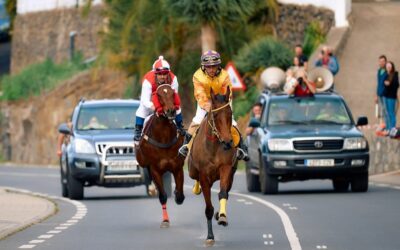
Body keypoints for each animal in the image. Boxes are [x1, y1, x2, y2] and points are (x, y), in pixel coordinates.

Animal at [134, 84, 184, 229]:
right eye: (159, 95)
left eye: (173, 93)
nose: (171, 111)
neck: (164, 137)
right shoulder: (155, 169)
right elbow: (163, 196)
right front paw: (165, 221)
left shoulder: (177, 167)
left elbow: (180, 196)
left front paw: (177, 195)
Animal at [188, 86, 238, 246]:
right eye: (215, 115)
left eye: (230, 113)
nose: (228, 142)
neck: (215, 145)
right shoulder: (204, 176)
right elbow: (208, 208)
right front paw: (210, 236)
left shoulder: (226, 168)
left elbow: (223, 193)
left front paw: (221, 216)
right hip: (193, 172)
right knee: (196, 179)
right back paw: (196, 188)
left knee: (226, 190)